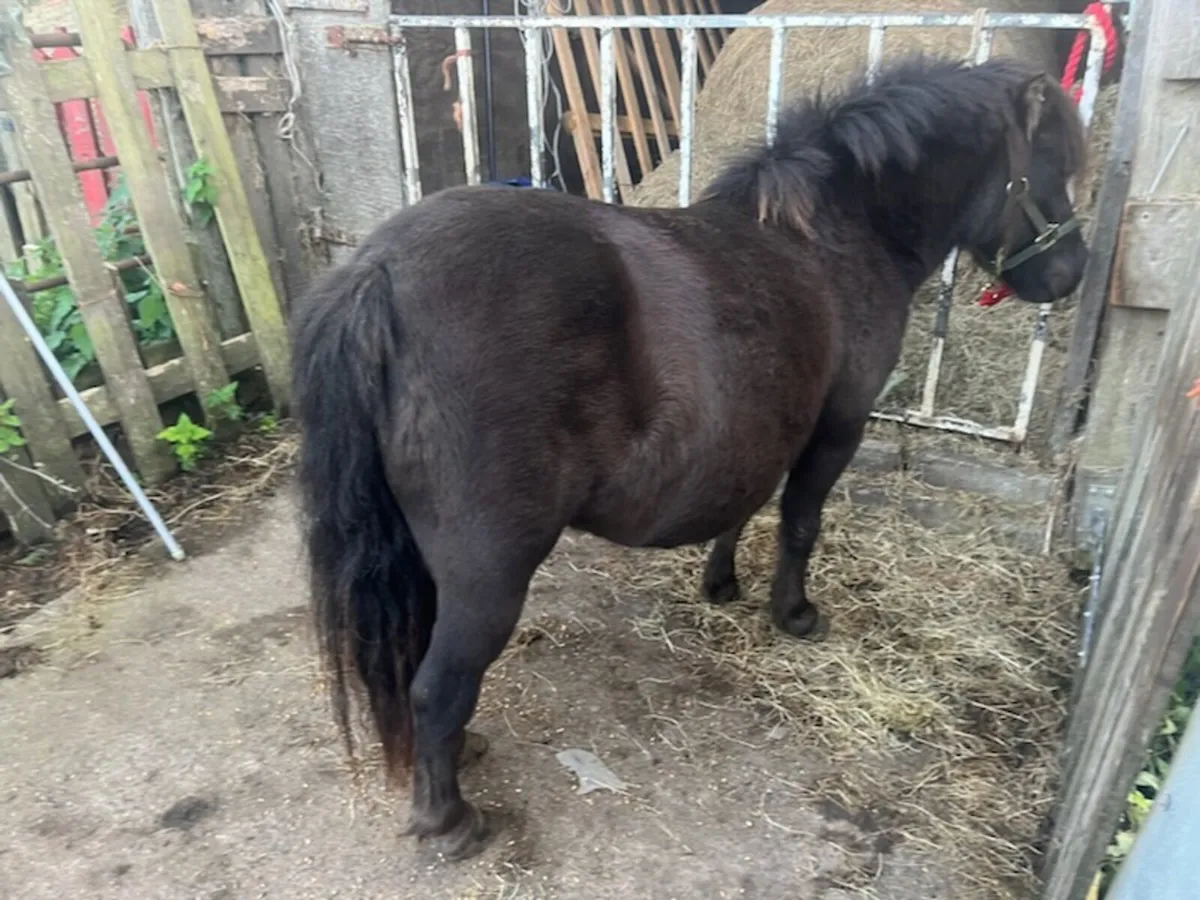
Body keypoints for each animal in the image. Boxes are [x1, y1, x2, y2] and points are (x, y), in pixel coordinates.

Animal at [290, 54, 1088, 860]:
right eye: (1054, 163)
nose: (1073, 273)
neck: (833, 236)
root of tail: (379, 274)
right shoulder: (837, 428)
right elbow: (800, 523)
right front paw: (794, 614)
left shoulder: (763, 428)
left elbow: (744, 505)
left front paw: (722, 583)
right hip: (489, 572)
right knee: (436, 687)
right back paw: (450, 819)